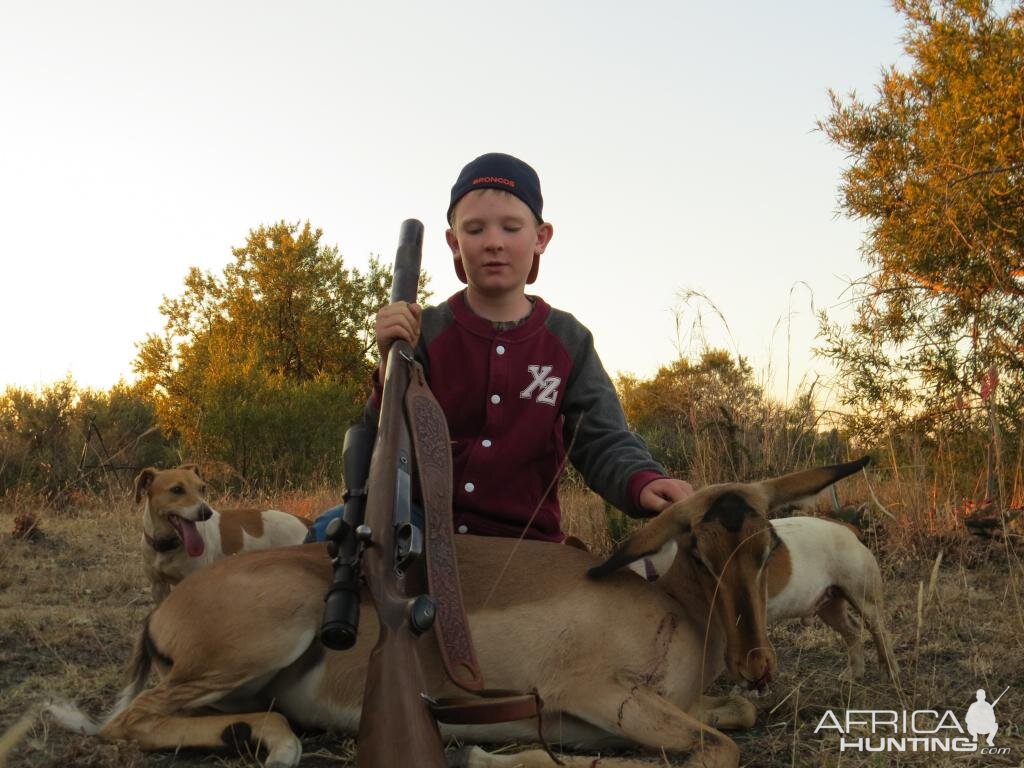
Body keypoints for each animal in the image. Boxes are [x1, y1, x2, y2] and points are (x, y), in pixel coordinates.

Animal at [137, 466, 311, 606]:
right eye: (177, 489)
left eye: (202, 488)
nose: (206, 513)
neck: (167, 546)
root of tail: (304, 521)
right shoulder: (158, 586)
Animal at [626, 514, 901, 684]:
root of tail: (846, 529)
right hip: (829, 605)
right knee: (851, 631)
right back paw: (854, 673)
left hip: (862, 596)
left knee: (878, 630)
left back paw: (890, 670)